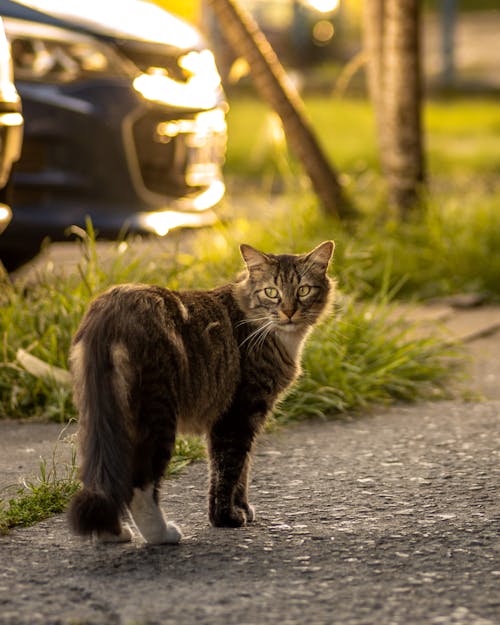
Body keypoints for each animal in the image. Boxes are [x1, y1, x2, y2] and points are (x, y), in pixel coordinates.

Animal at [68, 241, 334, 544]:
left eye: (303, 290)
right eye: (271, 292)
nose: (289, 312)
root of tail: (111, 308)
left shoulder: (245, 420)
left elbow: (242, 471)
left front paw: (242, 509)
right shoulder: (238, 415)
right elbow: (227, 470)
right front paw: (225, 519)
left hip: (99, 417)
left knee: (102, 478)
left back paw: (112, 533)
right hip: (157, 414)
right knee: (139, 484)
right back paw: (162, 534)